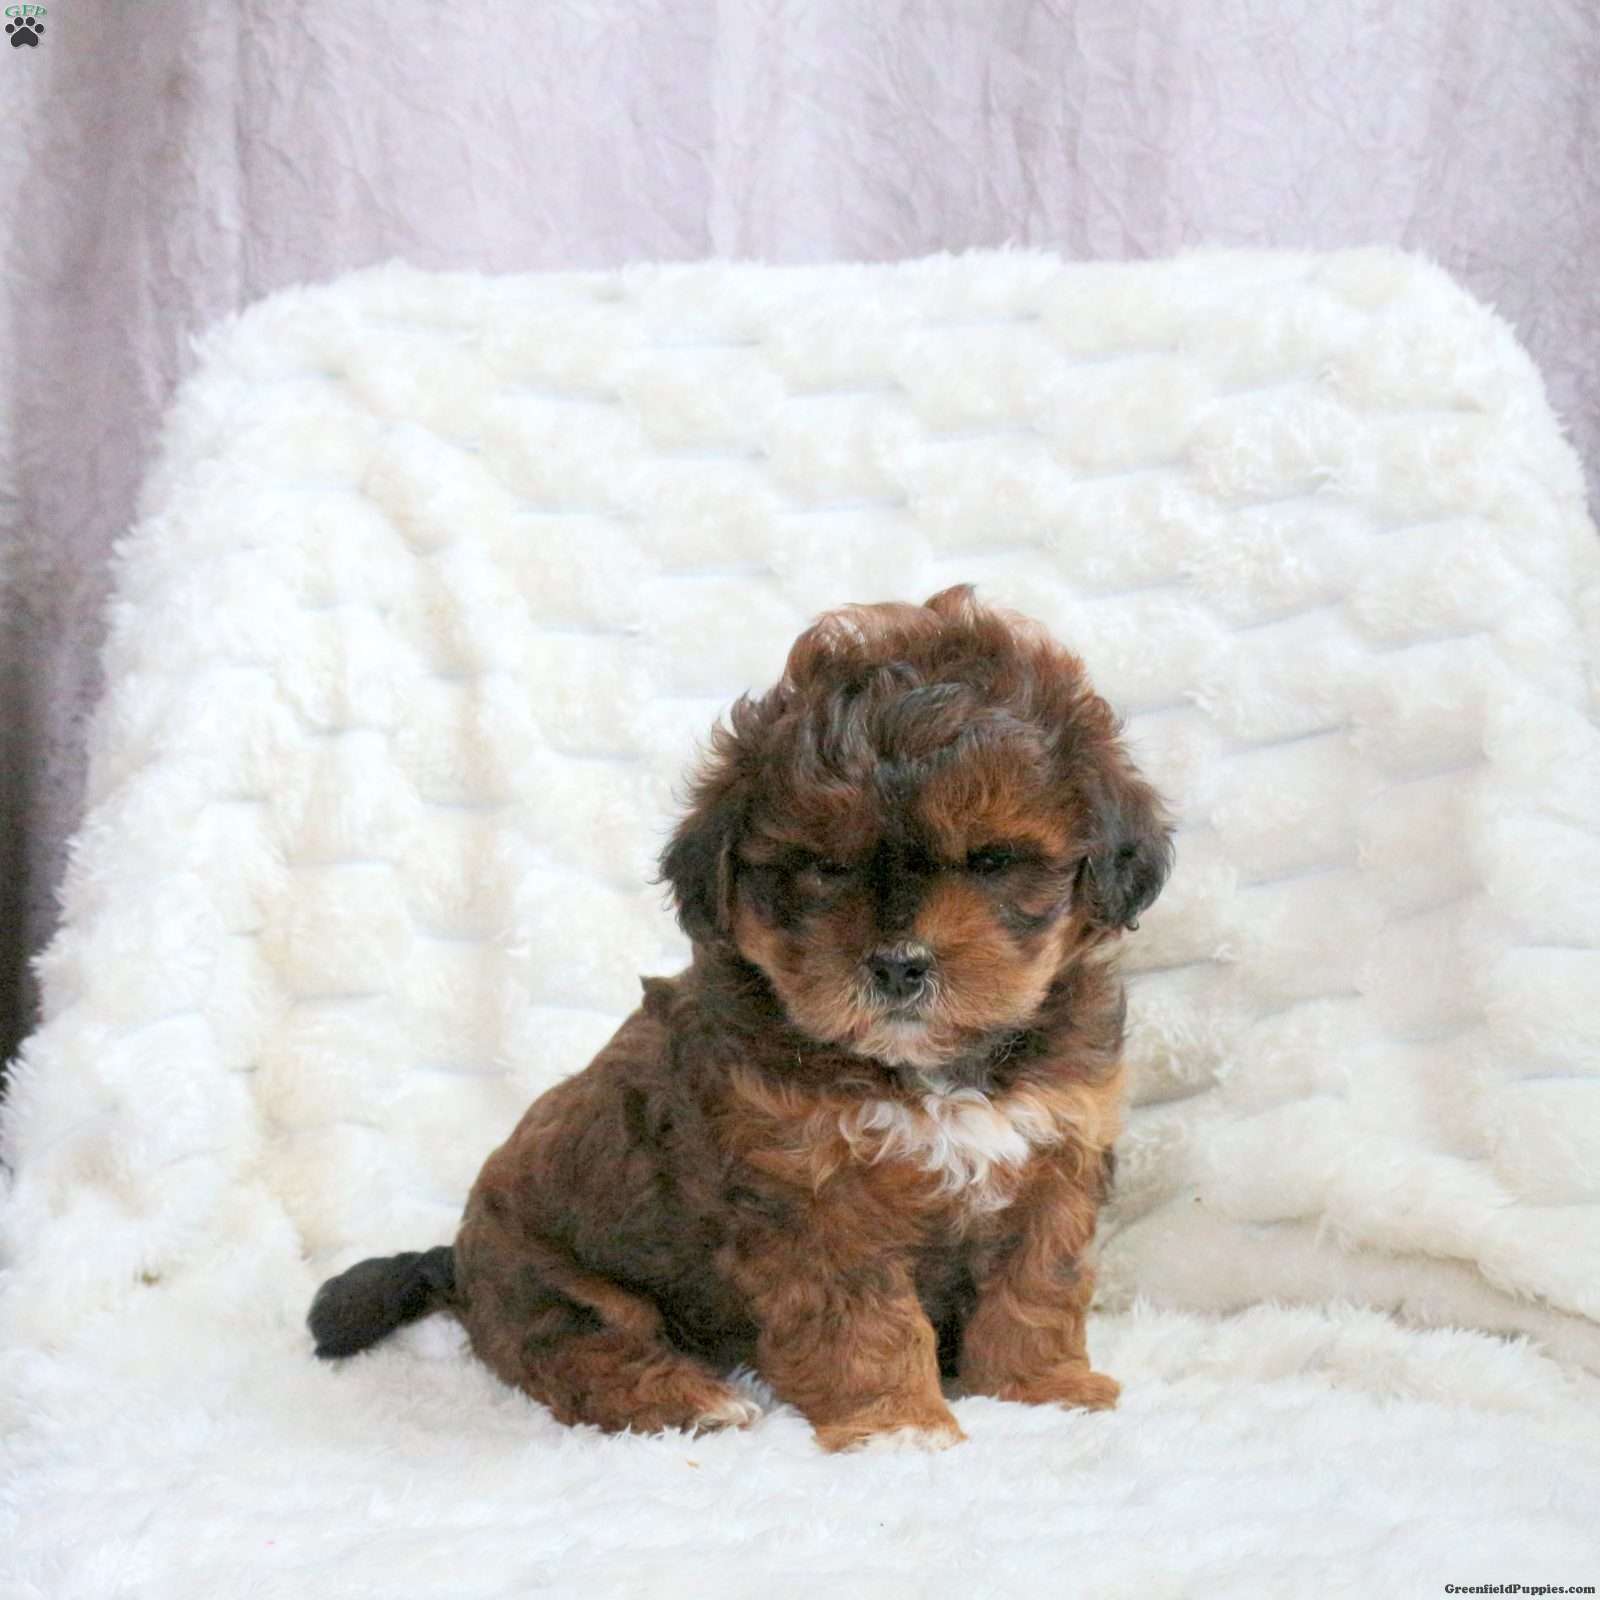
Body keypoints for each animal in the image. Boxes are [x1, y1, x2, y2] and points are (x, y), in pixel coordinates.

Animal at [308, 585, 1171, 1451]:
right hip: (552, 1282)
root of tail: (455, 1262)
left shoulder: (1056, 1156)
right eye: (825, 868)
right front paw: (897, 1423)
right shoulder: (813, 1202)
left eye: (993, 861)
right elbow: (864, 1321)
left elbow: (1037, 1283)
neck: (926, 1071)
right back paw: (691, 1401)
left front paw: (1040, 1390)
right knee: (578, 1353)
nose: (899, 964)